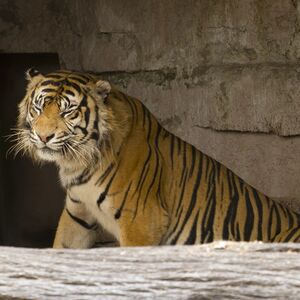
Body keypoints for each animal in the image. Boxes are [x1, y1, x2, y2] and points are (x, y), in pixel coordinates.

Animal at [15, 69, 300, 247]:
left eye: (68, 111)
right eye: (38, 107)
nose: (43, 136)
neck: (79, 162)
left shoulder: (140, 220)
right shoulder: (77, 215)